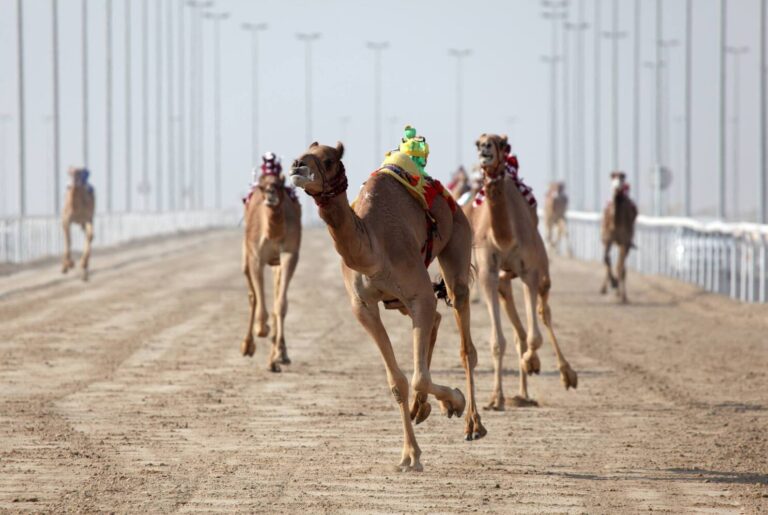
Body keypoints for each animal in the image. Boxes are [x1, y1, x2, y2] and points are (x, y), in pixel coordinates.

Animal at [468, 134, 576, 412]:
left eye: (499, 142)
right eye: (478, 142)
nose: (485, 149)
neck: (505, 237)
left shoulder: (530, 272)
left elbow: (535, 336)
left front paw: (533, 362)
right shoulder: (488, 274)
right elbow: (499, 341)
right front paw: (495, 399)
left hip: (543, 271)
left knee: (544, 313)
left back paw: (566, 374)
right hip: (504, 283)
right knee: (518, 331)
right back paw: (521, 394)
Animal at [600, 171, 636, 304]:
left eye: (622, 178)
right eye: (612, 177)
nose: (617, 188)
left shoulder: (625, 242)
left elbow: (620, 267)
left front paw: (622, 295)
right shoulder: (607, 239)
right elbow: (606, 258)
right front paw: (613, 283)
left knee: (621, 266)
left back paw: (621, 294)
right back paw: (605, 288)